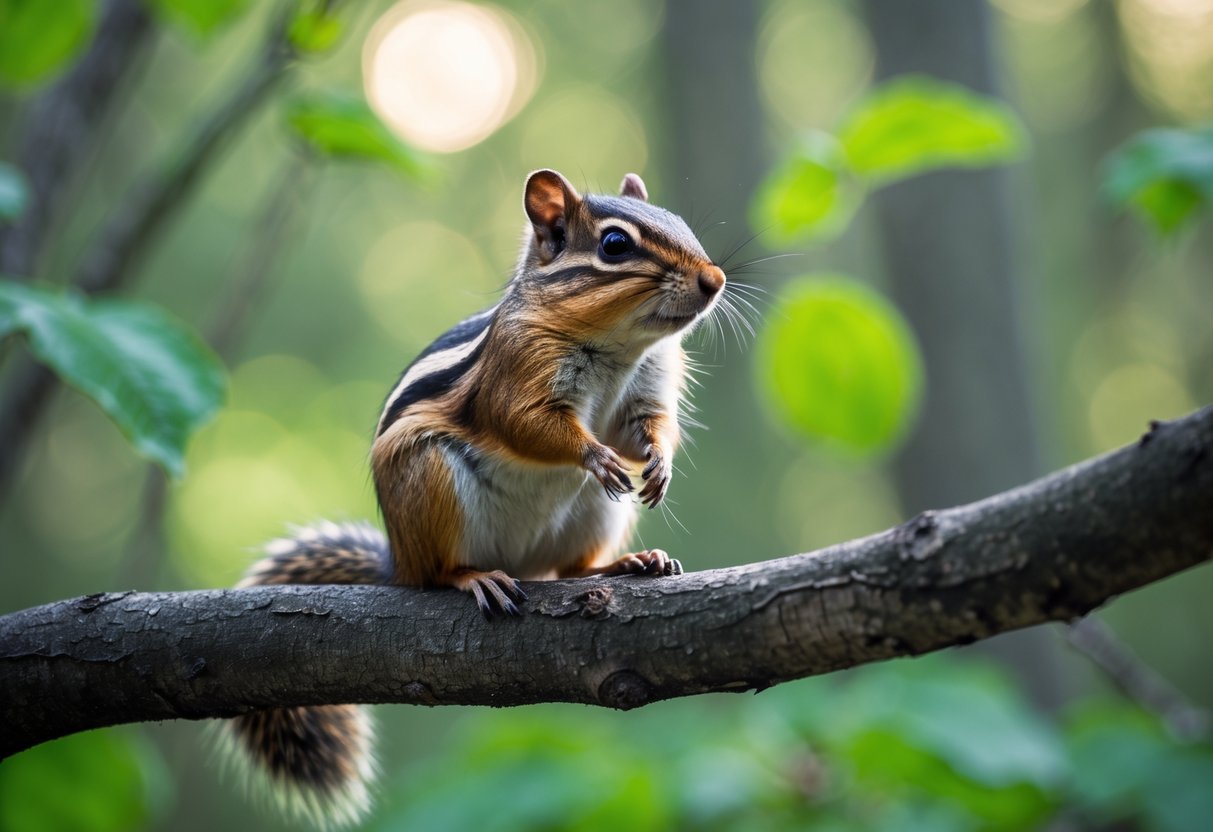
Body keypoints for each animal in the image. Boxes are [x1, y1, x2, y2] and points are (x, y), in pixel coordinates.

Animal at [220, 169, 726, 827]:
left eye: (681, 222)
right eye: (615, 245)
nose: (714, 280)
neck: (620, 346)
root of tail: (397, 560)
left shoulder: (650, 383)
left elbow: (652, 426)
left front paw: (658, 465)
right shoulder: (516, 372)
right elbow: (528, 425)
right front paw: (594, 456)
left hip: (594, 516)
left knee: (571, 568)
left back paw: (625, 564)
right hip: (430, 479)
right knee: (439, 574)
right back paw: (474, 576)